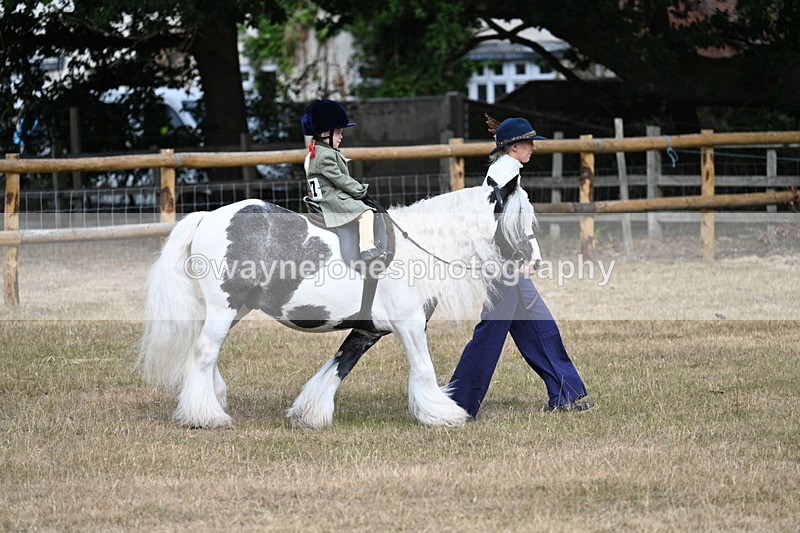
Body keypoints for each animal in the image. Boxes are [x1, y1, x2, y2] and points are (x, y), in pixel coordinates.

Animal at [135, 178, 536, 429]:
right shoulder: (408, 324)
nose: (533, 261)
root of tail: (208, 217)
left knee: (203, 354)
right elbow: (423, 369)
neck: (419, 245)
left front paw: (309, 414)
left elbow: (338, 366)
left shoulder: (367, 331)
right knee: (203, 354)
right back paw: (206, 416)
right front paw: (441, 413)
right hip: (224, 309)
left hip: (234, 311)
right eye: (520, 218)